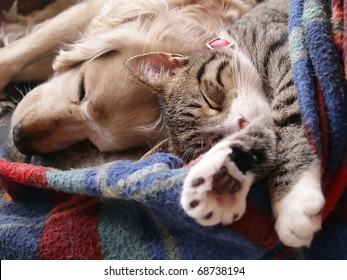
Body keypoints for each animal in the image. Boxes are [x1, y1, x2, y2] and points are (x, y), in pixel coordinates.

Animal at [125, 0, 326, 247]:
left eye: (211, 99)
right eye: (210, 142)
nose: (241, 123)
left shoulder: (287, 53)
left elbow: (289, 114)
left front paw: (293, 198)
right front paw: (221, 176)